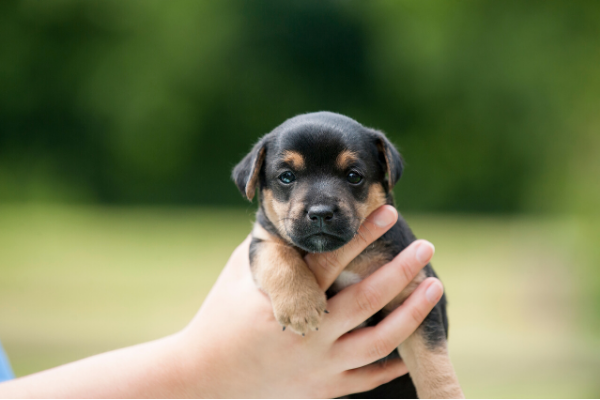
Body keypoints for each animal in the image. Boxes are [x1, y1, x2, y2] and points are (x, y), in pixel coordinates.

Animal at [232, 111, 462, 396]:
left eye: (354, 176)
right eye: (286, 177)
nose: (320, 213)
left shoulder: (414, 298)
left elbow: (433, 364)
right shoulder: (262, 237)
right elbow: (278, 258)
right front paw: (300, 306)